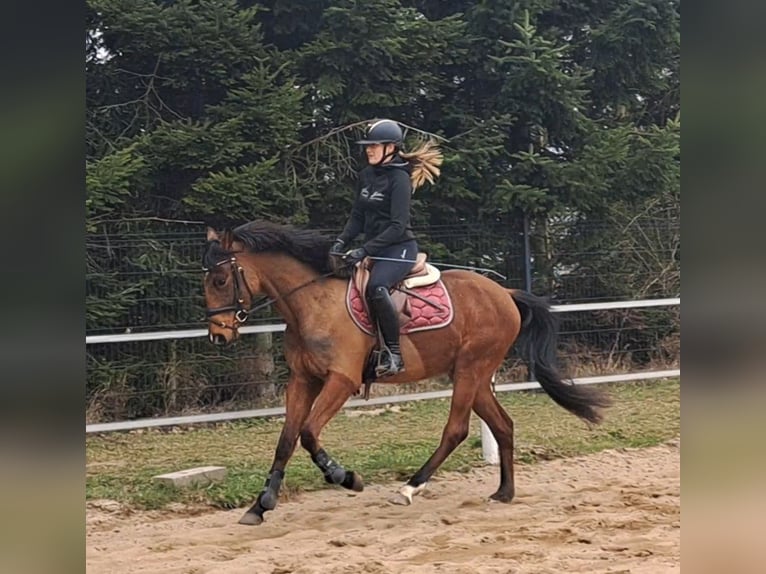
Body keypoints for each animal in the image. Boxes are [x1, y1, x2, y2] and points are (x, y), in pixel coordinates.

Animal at [202, 220, 612, 528]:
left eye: (220, 280)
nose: (218, 335)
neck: (312, 303)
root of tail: (505, 293)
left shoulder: (340, 381)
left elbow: (308, 433)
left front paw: (346, 478)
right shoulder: (303, 381)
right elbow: (286, 440)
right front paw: (261, 505)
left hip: (471, 371)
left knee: (456, 430)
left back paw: (410, 488)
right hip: (474, 376)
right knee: (503, 425)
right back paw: (503, 493)